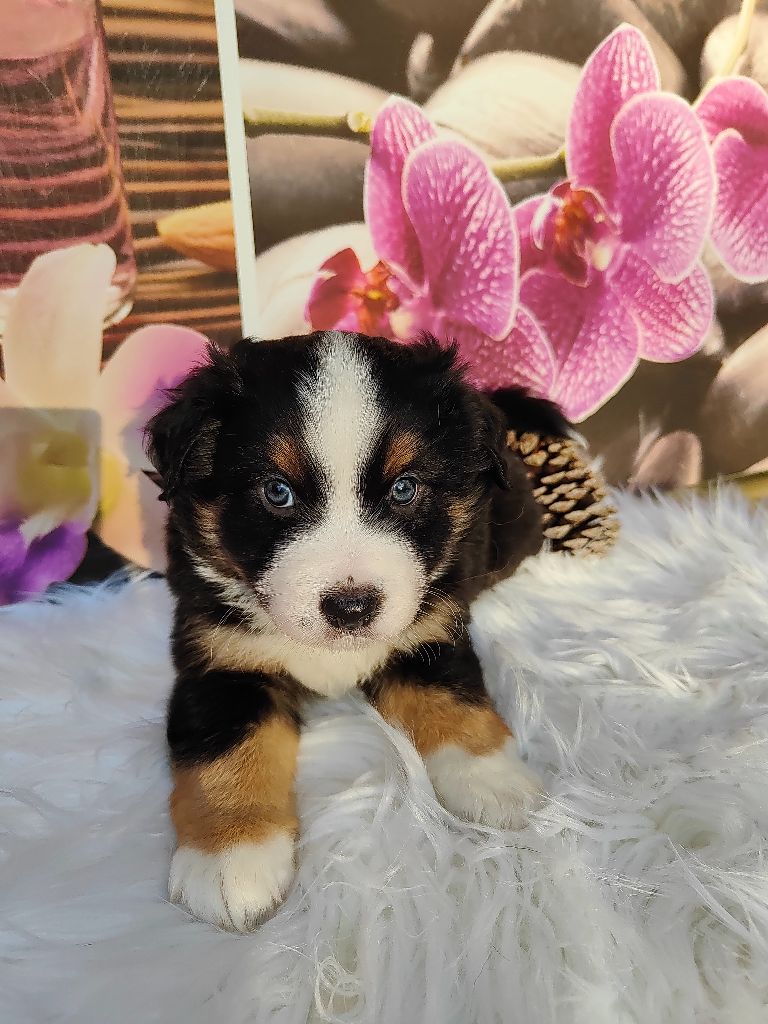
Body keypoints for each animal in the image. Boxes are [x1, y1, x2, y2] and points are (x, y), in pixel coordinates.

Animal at [146, 329, 570, 931]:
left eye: (405, 489)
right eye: (277, 492)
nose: (351, 607)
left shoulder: (431, 633)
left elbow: (453, 701)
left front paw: (492, 779)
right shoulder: (219, 661)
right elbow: (224, 753)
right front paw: (231, 858)